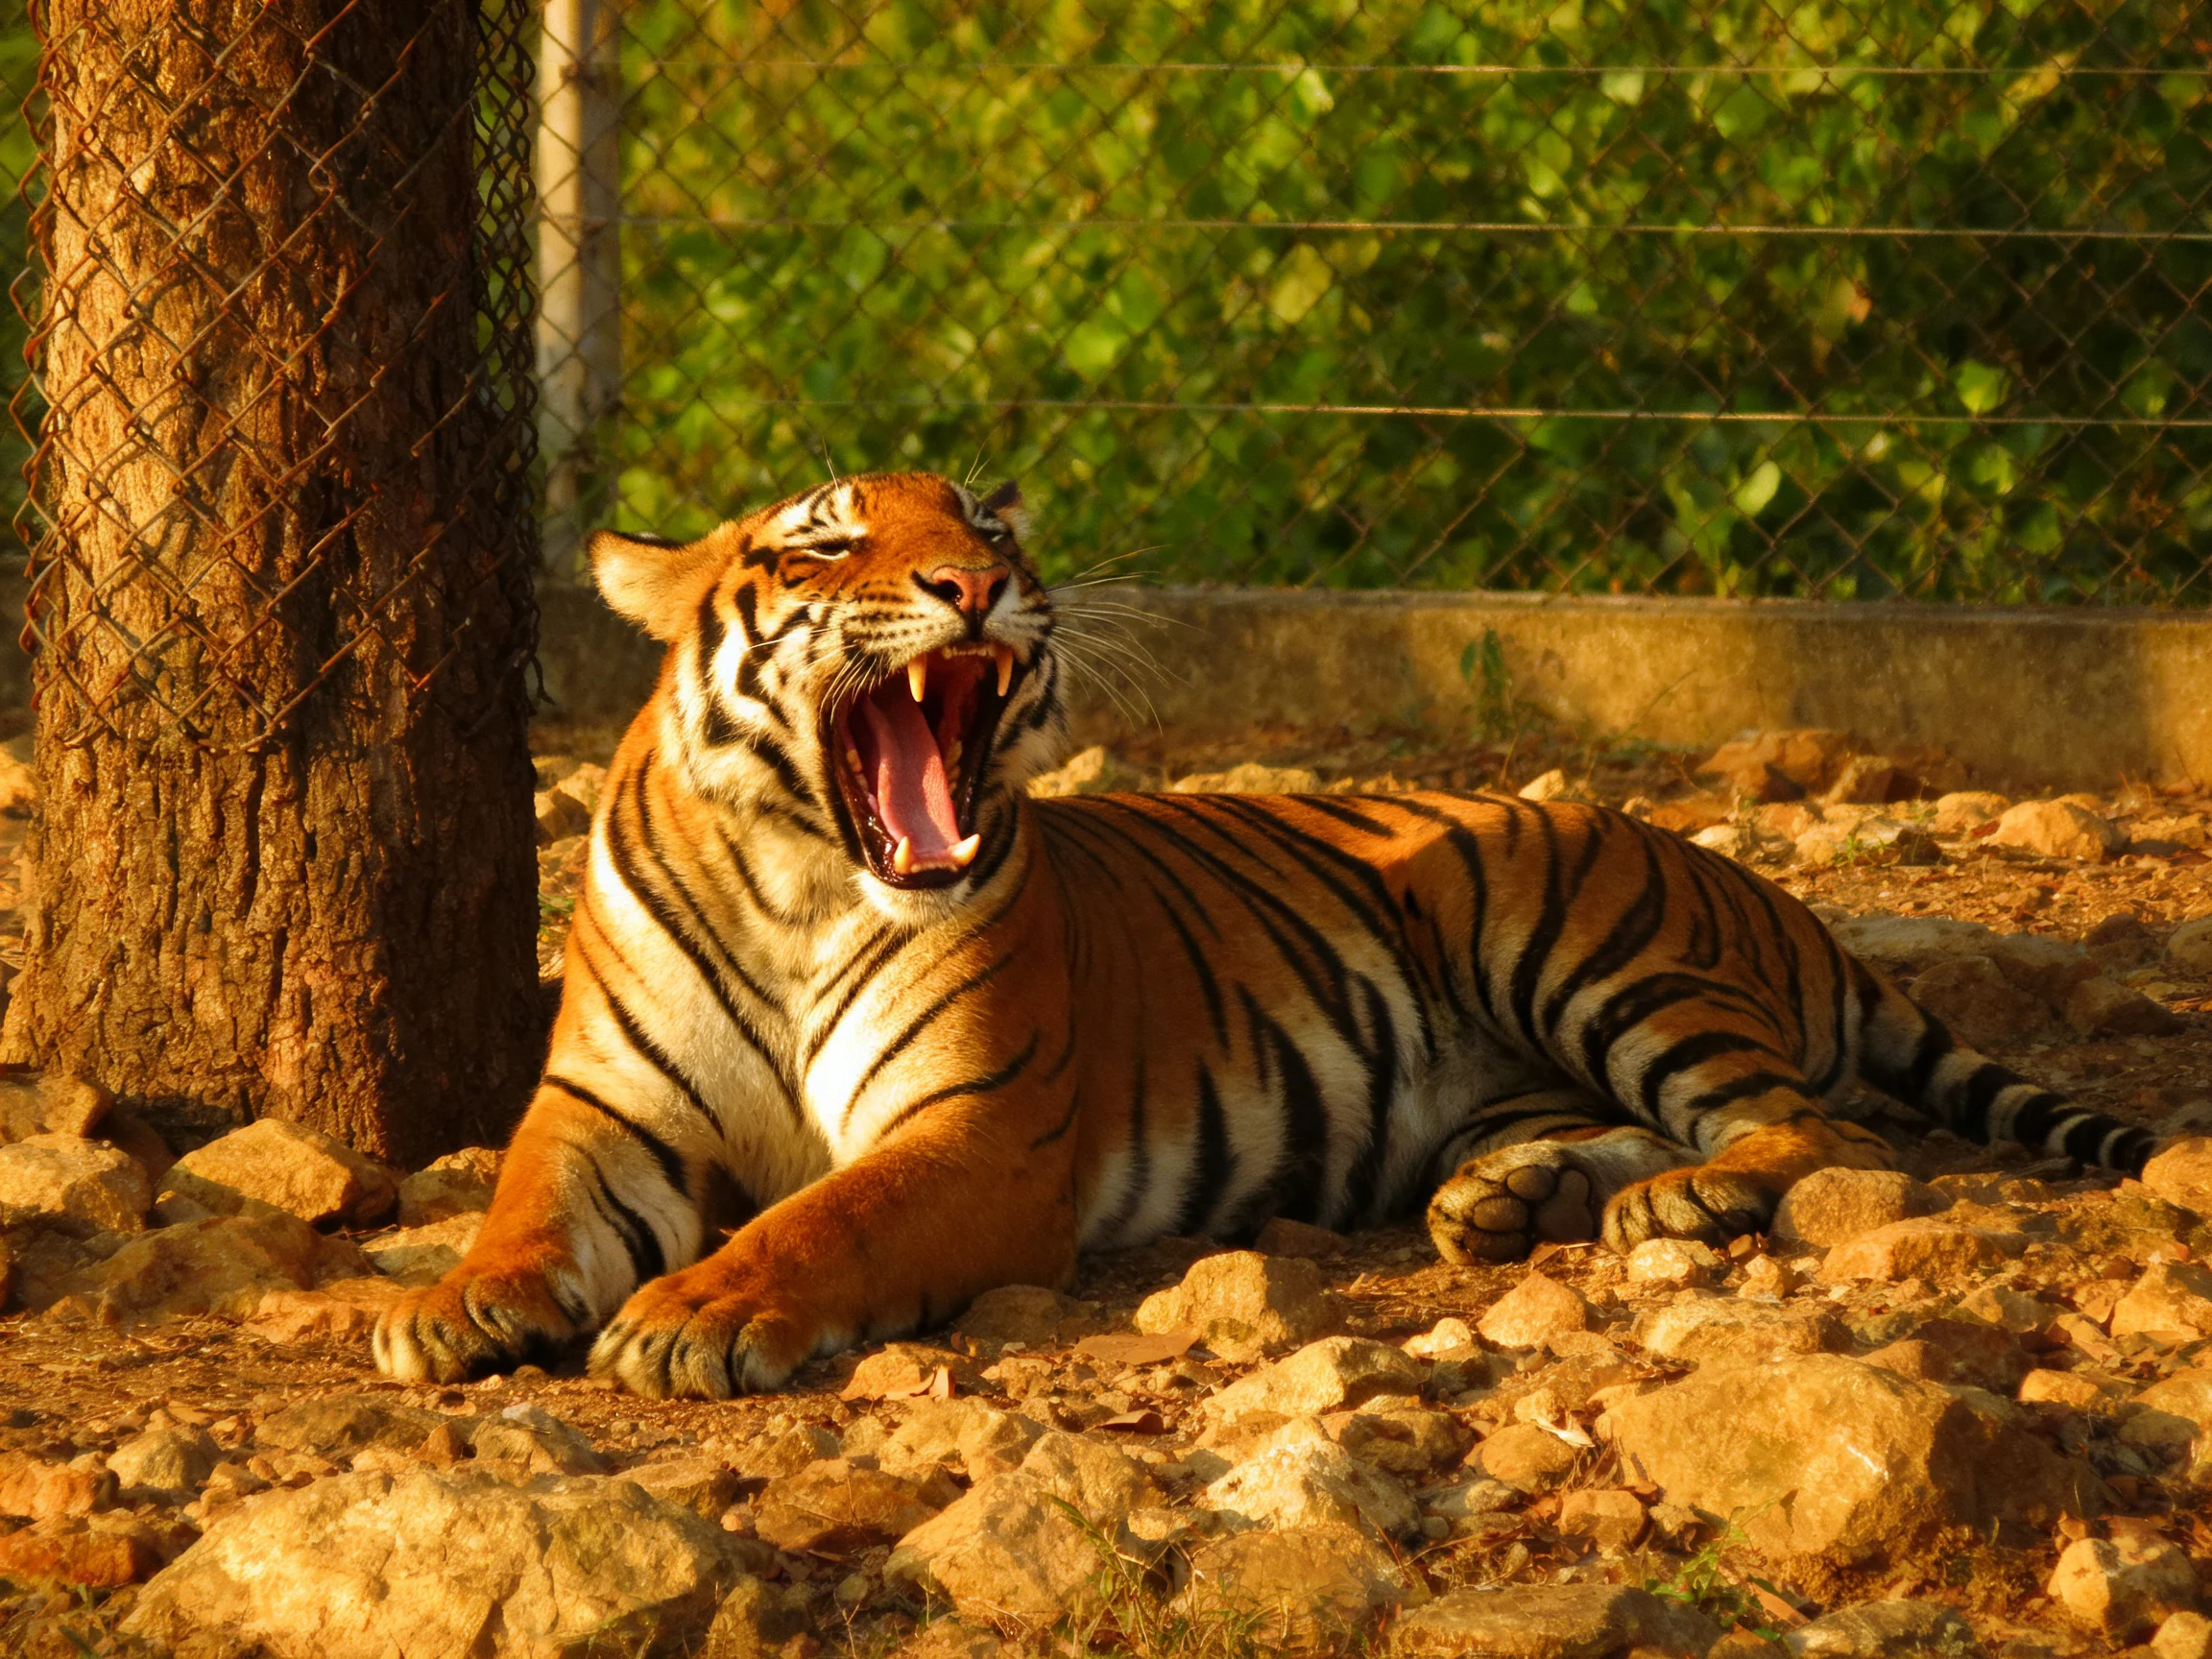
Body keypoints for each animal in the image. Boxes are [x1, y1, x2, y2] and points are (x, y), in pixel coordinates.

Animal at [374, 469, 2157, 1399]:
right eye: (825, 537)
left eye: (989, 529)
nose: (974, 585)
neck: (803, 880)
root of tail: (1770, 893)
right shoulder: (602, 1107)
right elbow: (523, 1209)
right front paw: (452, 1303)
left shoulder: (975, 1130)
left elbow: (827, 1217)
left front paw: (694, 1315)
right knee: (1623, 1129)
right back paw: (1513, 1202)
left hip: (1564, 924)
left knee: (1805, 1124)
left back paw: (1681, 1197)